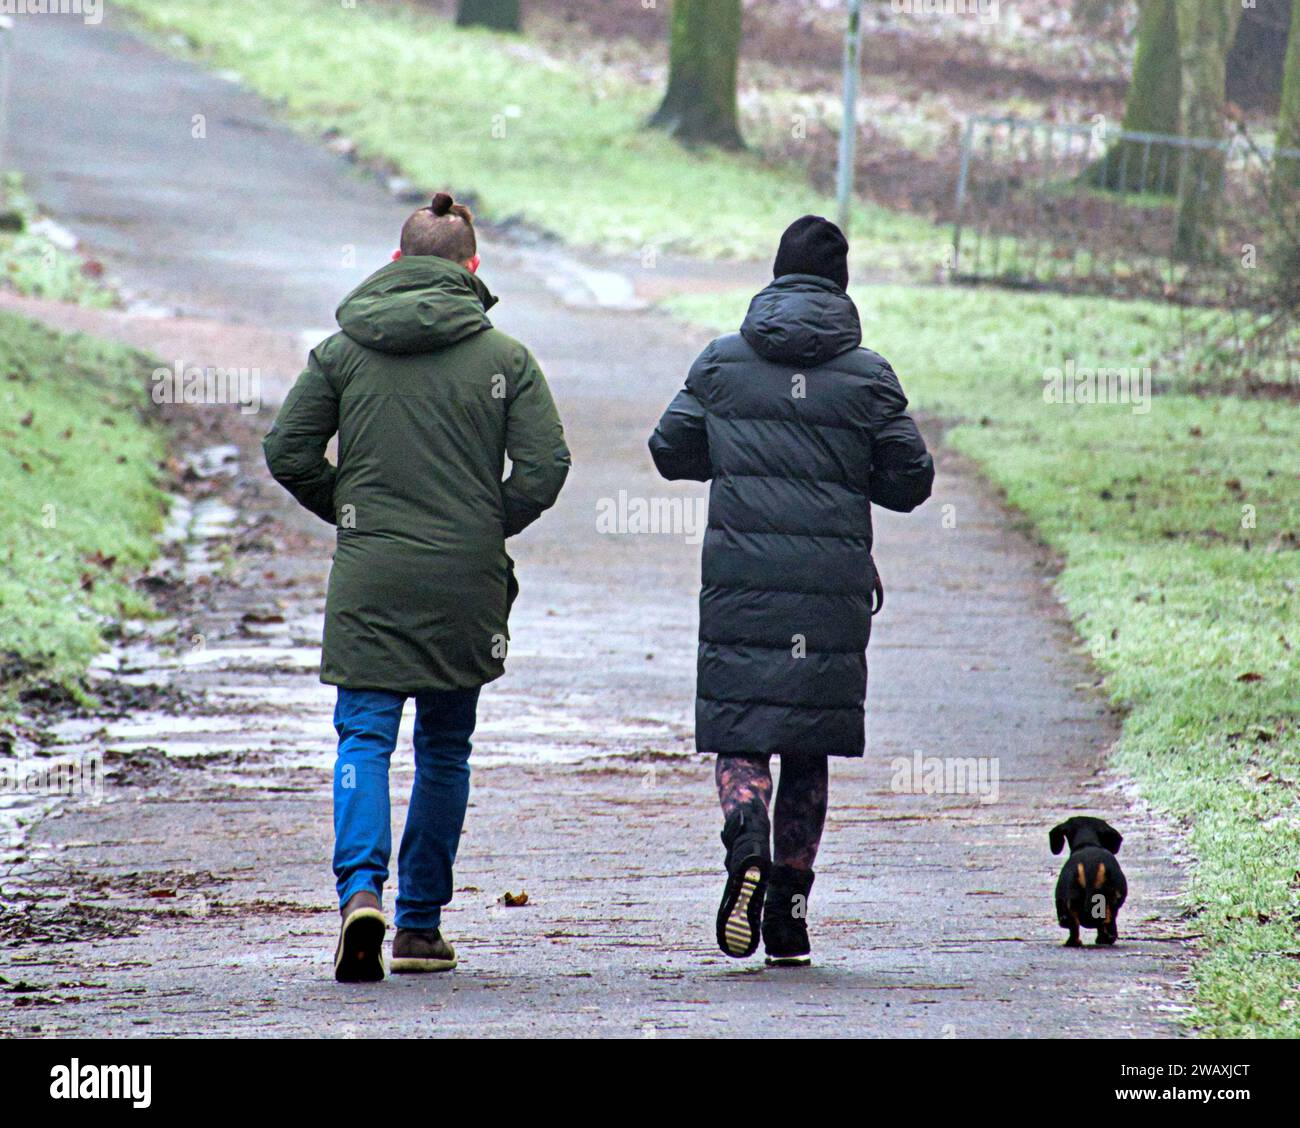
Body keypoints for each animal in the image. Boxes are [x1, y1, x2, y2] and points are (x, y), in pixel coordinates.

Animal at [1045, 816, 1128, 946]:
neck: (1087, 843)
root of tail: (1090, 866)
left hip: (1067, 898)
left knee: (1073, 925)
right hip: (1111, 899)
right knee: (1108, 919)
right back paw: (1106, 938)